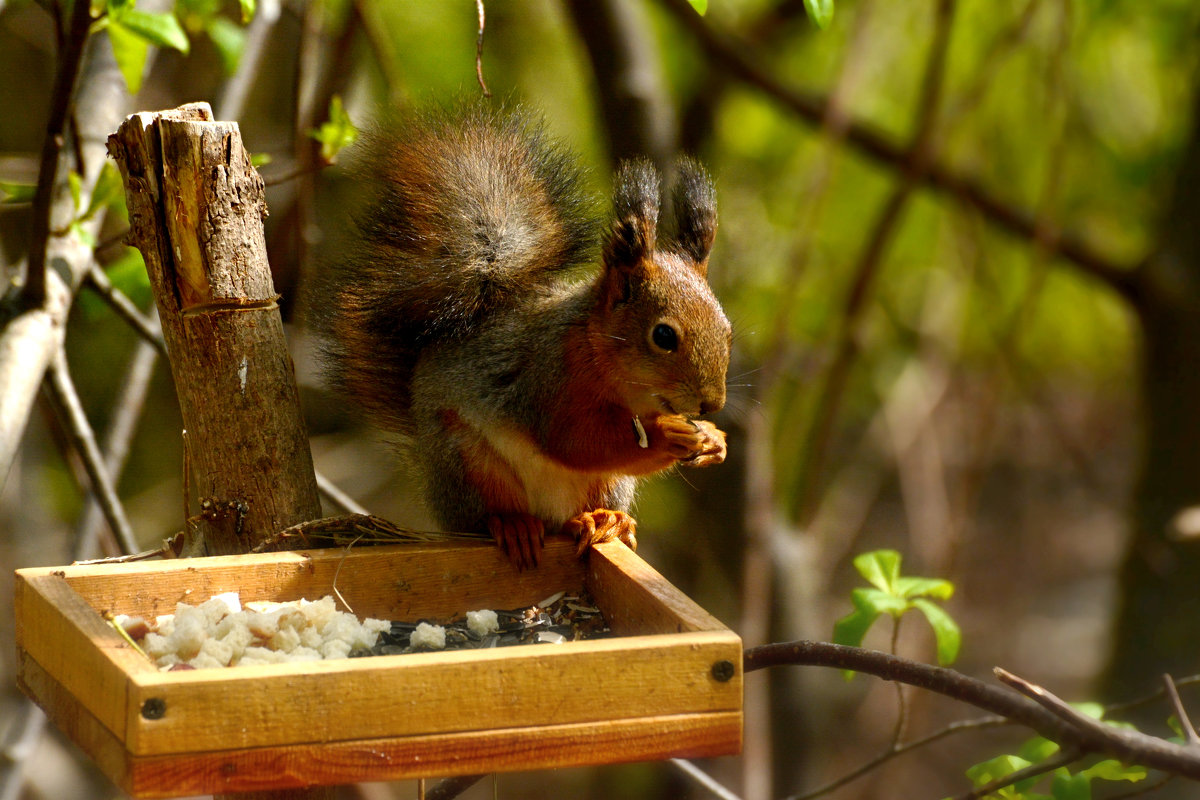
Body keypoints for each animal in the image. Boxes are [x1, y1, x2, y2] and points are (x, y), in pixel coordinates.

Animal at [309, 104, 729, 568]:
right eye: (664, 336)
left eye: (727, 330)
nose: (712, 403)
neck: (595, 349)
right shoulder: (547, 377)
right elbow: (574, 441)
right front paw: (670, 435)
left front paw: (714, 440)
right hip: (468, 463)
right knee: (488, 513)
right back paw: (512, 526)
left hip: (608, 483)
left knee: (583, 511)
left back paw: (605, 520)